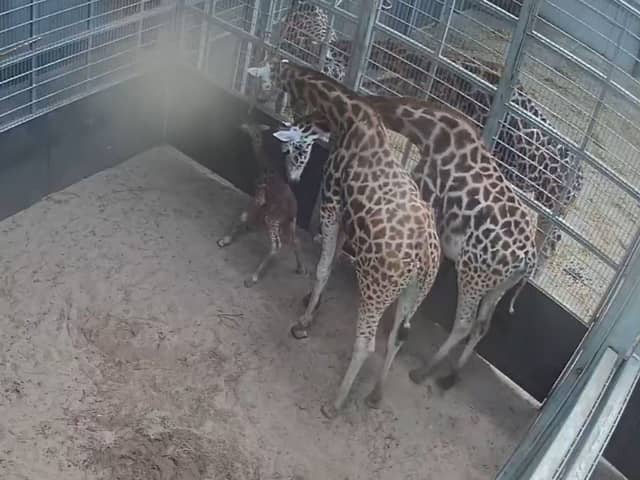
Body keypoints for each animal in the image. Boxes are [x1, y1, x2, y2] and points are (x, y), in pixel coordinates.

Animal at [265, 60, 441, 418]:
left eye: (292, 148)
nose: (292, 178)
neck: (348, 116)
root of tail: (425, 258)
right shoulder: (345, 213)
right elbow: (329, 264)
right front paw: (311, 306)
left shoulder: (332, 202)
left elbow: (322, 267)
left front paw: (303, 322)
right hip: (416, 292)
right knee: (398, 336)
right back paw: (375, 394)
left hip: (376, 286)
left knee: (366, 342)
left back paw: (334, 404)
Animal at [278, 94, 538, 388]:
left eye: (294, 149)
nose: (293, 178)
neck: (432, 133)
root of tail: (528, 261)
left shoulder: (423, 194)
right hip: (497, 287)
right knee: (482, 325)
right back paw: (450, 375)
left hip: (473, 275)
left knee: (464, 323)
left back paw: (423, 371)